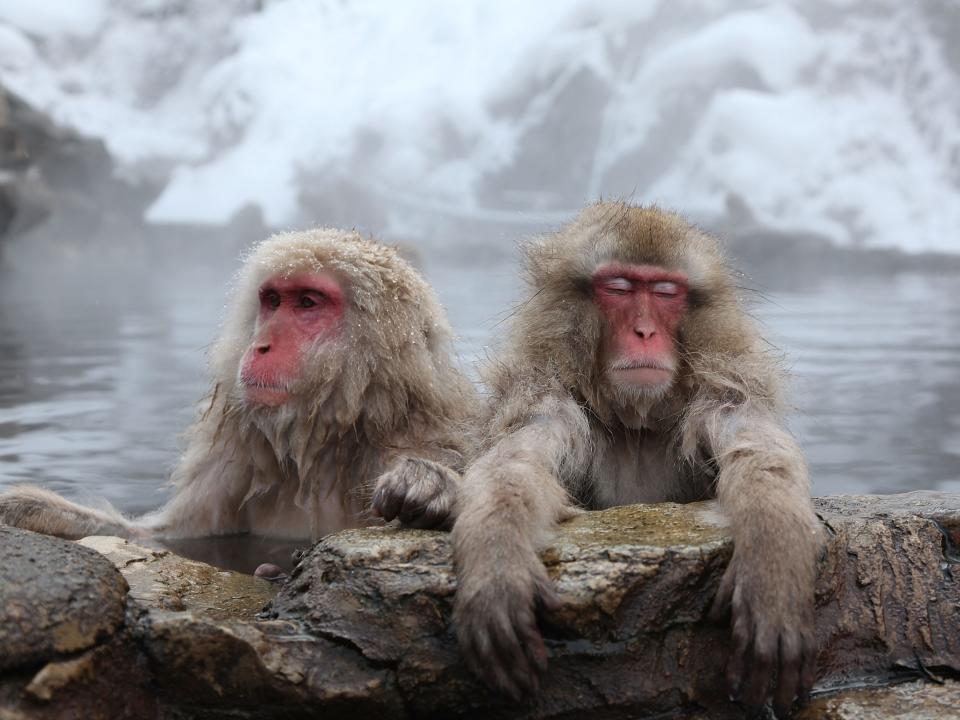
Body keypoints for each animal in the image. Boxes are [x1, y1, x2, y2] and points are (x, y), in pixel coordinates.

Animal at [1, 231, 474, 540]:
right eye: (273, 301)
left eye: (307, 303)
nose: (261, 345)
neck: (324, 443)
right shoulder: (237, 456)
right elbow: (170, 535)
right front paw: (34, 509)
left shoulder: (423, 437)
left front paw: (431, 487)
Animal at [454, 204, 820, 720]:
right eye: (620, 287)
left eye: (665, 291)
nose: (644, 332)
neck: (637, 426)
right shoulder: (548, 399)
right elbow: (514, 465)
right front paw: (496, 565)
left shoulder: (722, 393)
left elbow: (758, 452)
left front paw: (774, 563)